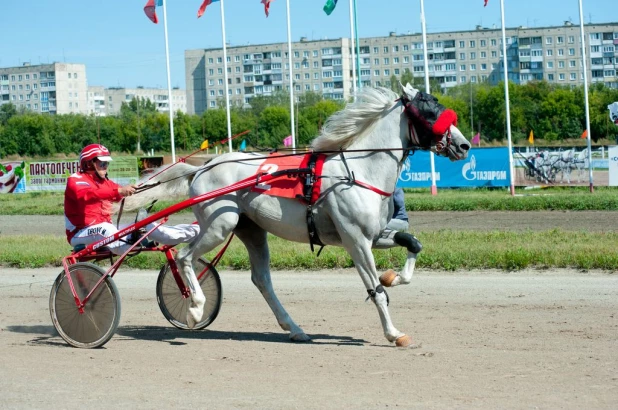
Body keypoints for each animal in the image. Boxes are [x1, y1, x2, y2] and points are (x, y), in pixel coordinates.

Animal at [126, 85, 472, 348]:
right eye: (430, 112)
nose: (464, 144)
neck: (358, 171)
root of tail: (203, 166)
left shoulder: (373, 235)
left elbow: (412, 244)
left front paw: (395, 277)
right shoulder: (356, 240)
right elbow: (376, 290)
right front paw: (393, 332)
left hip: (251, 230)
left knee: (261, 279)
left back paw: (294, 328)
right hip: (219, 225)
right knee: (185, 257)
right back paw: (196, 309)